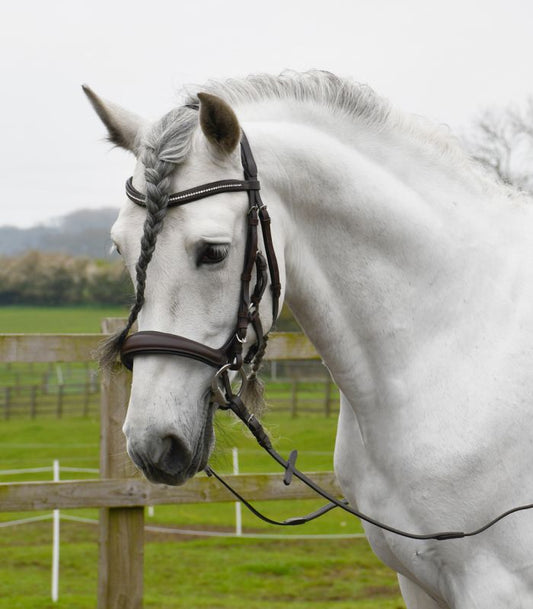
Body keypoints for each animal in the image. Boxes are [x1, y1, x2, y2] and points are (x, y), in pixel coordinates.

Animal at [85, 72, 532, 608]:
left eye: (214, 252)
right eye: (119, 247)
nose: (153, 443)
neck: (452, 341)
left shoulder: (497, 586)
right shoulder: (419, 583)